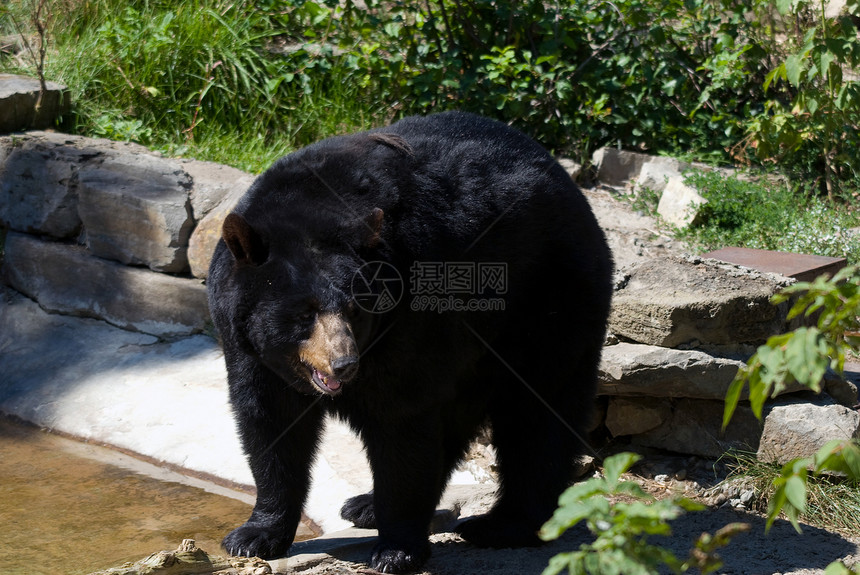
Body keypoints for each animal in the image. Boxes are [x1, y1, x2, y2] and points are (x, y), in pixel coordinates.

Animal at [207, 110, 612, 572]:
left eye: (355, 308)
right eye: (305, 313)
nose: (344, 364)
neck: (310, 208)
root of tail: (569, 184)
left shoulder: (407, 321)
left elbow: (401, 424)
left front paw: (395, 550)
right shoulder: (247, 346)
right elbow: (269, 423)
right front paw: (254, 535)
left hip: (547, 301)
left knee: (538, 412)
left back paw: (502, 525)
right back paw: (366, 504)